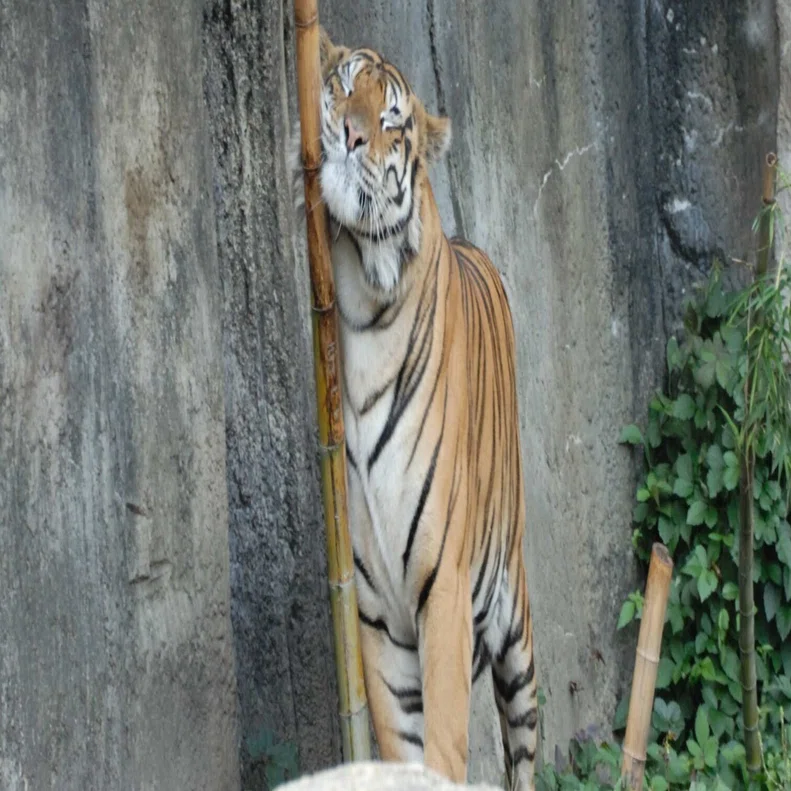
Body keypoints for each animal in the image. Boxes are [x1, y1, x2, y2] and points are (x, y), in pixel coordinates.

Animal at [290, 27, 538, 791]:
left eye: (392, 118)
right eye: (343, 84)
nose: (349, 134)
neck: (361, 301)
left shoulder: (443, 586)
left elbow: (448, 747)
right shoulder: (374, 614)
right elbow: (402, 751)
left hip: (513, 624)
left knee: (523, 745)